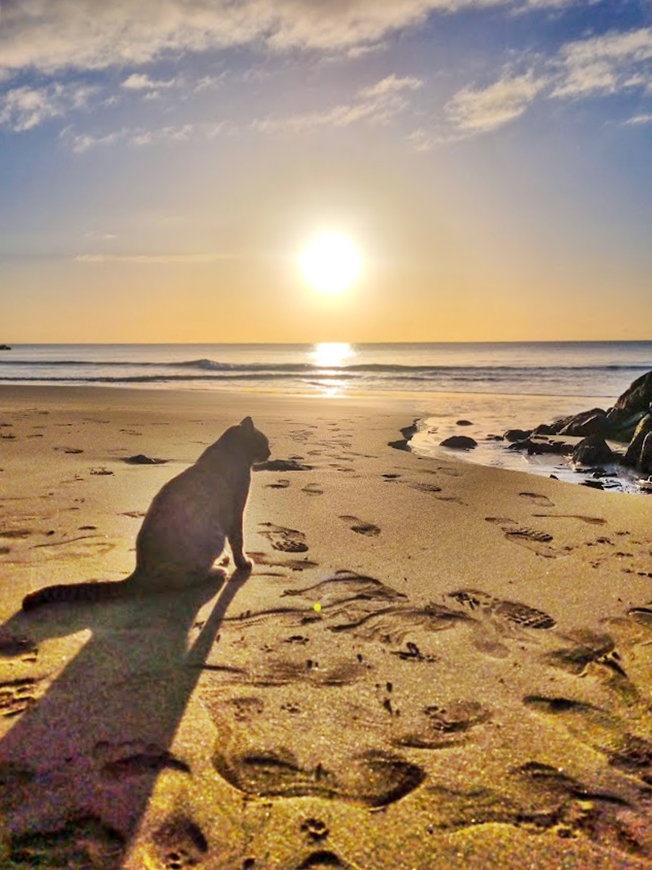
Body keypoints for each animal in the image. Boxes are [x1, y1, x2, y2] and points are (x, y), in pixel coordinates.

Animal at [21, 418, 270, 612]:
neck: (230, 452)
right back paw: (217, 571)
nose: (270, 452)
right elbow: (239, 542)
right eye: (265, 442)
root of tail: (138, 572)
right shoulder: (235, 513)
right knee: (185, 580)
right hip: (212, 536)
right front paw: (243, 563)